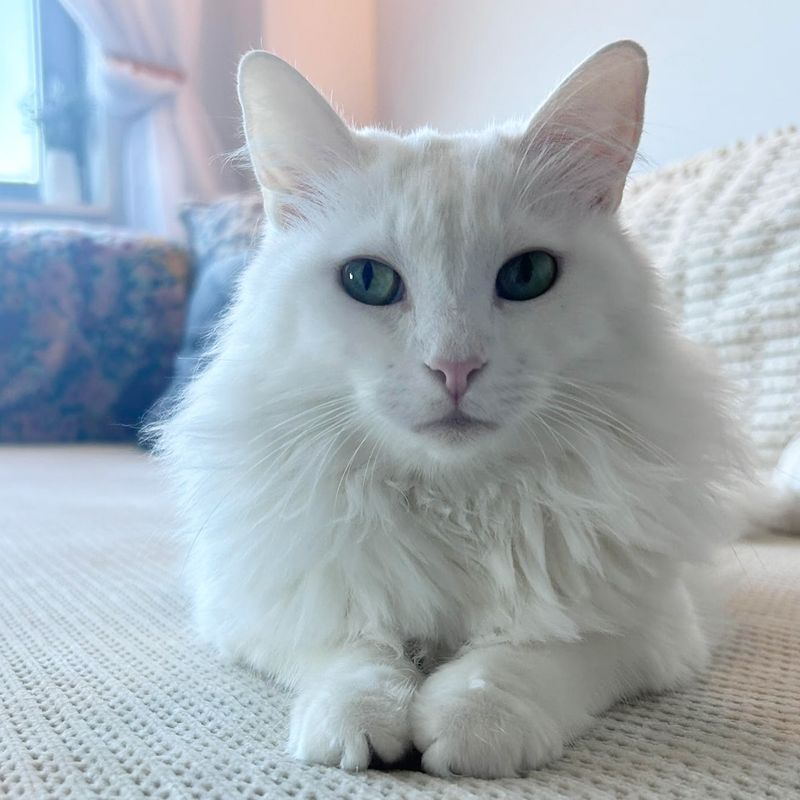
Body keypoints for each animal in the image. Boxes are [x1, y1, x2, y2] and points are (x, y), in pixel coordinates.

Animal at [156, 40, 752, 780]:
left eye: (527, 276)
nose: (455, 368)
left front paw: (470, 726)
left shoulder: (650, 627)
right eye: (367, 280)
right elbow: (351, 653)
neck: (457, 502)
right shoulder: (260, 607)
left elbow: (528, 656)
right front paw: (361, 726)